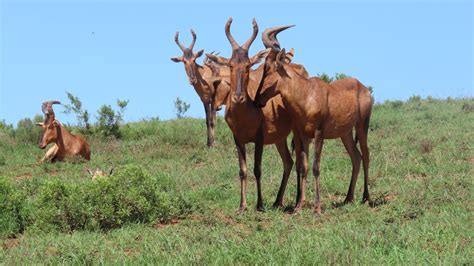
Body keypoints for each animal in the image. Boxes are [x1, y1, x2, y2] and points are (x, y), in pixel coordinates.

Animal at [206, 17, 310, 213]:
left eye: (248, 65)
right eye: (230, 65)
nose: (238, 97)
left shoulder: (260, 138)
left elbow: (257, 169)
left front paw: (260, 205)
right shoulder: (238, 139)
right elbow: (243, 171)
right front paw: (242, 206)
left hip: (297, 132)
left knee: (300, 161)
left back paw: (297, 201)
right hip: (279, 138)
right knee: (288, 162)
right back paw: (277, 201)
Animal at [254, 28, 372, 214]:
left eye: (268, 69)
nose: (257, 100)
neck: (308, 93)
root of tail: (364, 88)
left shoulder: (319, 133)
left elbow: (316, 166)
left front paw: (317, 208)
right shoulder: (303, 134)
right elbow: (304, 166)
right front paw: (298, 206)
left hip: (362, 126)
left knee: (366, 156)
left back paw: (366, 198)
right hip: (345, 133)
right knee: (356, 157)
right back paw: (348, 198)